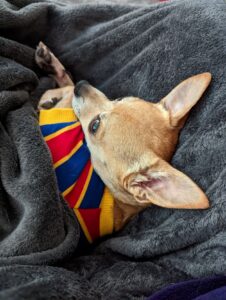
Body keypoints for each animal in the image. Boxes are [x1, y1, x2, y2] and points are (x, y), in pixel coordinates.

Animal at [36, 41, 211, 230]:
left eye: (94, 126)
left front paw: (50, 95)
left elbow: (64, 98)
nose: (82, 84)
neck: (119, 204)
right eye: (118, 99)